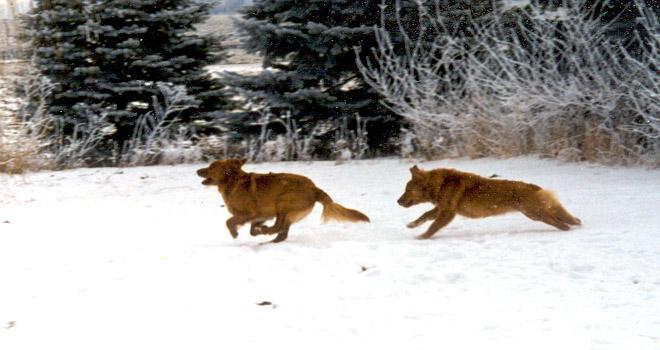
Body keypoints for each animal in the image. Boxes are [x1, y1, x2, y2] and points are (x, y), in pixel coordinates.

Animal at [196, 159, 372, 243]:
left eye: (211, 167)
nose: (197, 170)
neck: (233, 181)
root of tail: (314, 188)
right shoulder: (261, 215)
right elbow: (252, 229)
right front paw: (257, 230)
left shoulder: (249, 213)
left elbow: (229, 221)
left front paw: (235, 233)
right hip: (285, 211)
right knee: (282, 232)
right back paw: (268, 239)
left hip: (282, 203)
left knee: (279, 227)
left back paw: (266, 232)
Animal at [398, 166, 576, 238]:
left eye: (407, 190)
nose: (397, 201)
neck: (441, 184)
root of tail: (533, 187)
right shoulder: (441, 209)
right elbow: (425, 215)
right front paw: (412, 225)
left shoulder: (447, 212)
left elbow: (432, 227)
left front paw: (421, 237)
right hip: (536, 213)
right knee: (567, 219)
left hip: (536, 213)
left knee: (561, 223)